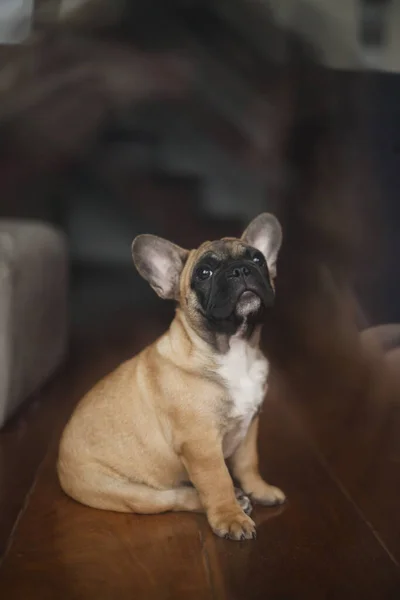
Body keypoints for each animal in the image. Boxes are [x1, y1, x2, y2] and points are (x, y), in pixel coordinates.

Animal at [57, 213, 286, 540]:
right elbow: (217, 481)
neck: (234, 351)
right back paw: (234, 502)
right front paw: (230, 517)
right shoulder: (200, 444)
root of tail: (60, 468)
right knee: (177, 497)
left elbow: (247, 463)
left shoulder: (249, 425)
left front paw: (260, 489)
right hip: (132, 494)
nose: (241, 269)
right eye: (204, 272)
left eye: (258, 259)